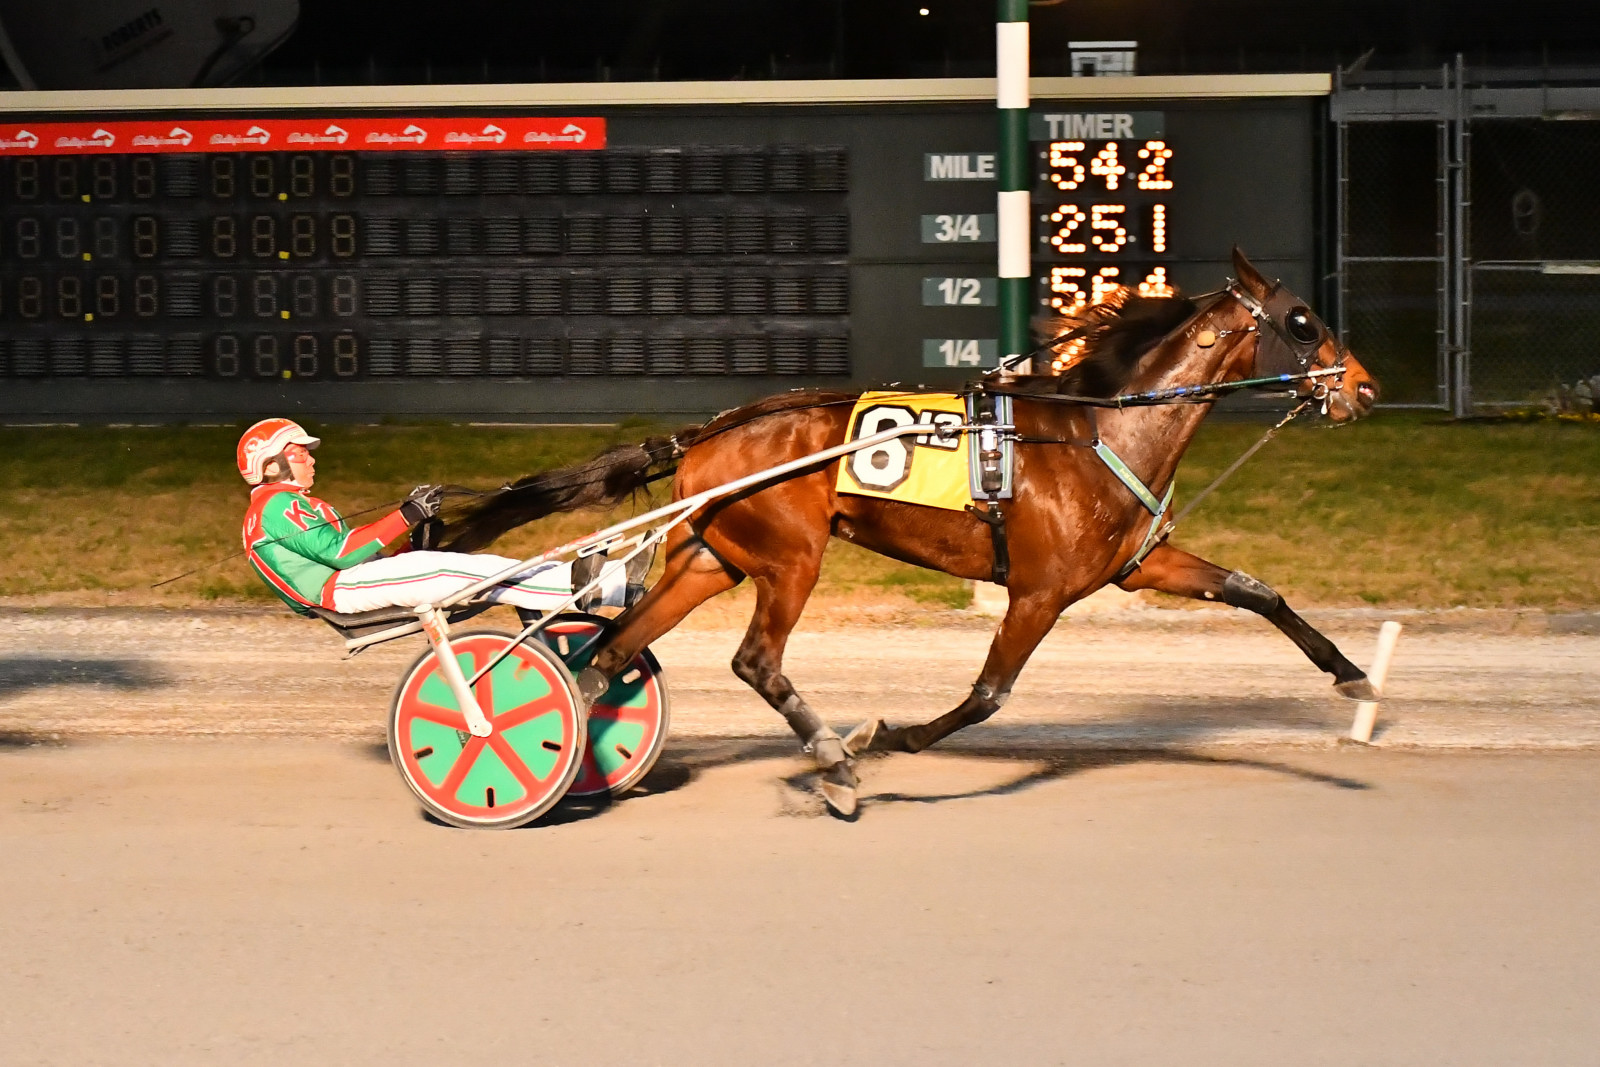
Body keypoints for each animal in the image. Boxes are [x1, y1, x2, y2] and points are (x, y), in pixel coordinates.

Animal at [438, 251, 1376, 819]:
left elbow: (1257, 590)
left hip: (713, 555)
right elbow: (988, 695)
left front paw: (1353, 675)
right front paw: (885, 737)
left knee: (612, 648)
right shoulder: (1039, 590)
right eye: (1302, 320)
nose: (1362, 389)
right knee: (754, 660)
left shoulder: (1136, 566)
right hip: (793, 555)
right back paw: (834, 760)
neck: (1098, 429)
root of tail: (708, 432)